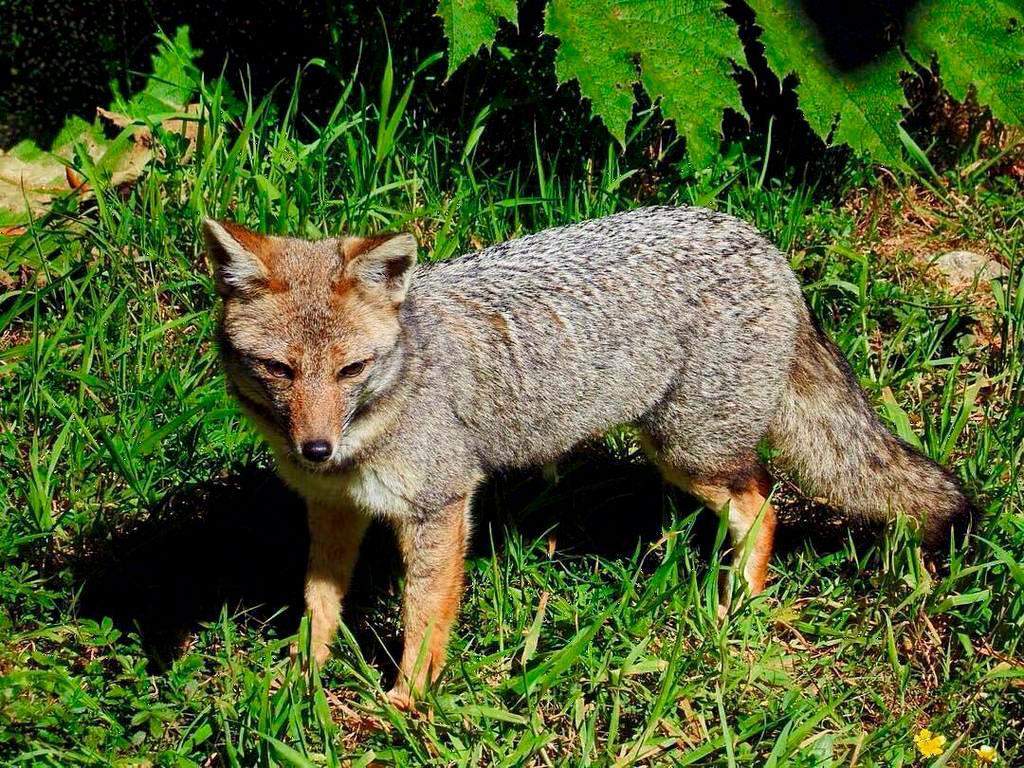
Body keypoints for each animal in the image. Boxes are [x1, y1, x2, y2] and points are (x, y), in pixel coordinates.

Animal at [203, 205, 970, 708]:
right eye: (279, 370)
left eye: (351, 371)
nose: (315, 447)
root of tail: (759, 241)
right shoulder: (332, 508)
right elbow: (319, 602)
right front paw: (303, 680)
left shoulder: (440, 507)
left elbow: (423, 618)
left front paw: (404, 705)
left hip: (688, 452)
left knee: (763, 502)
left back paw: (738, 610)